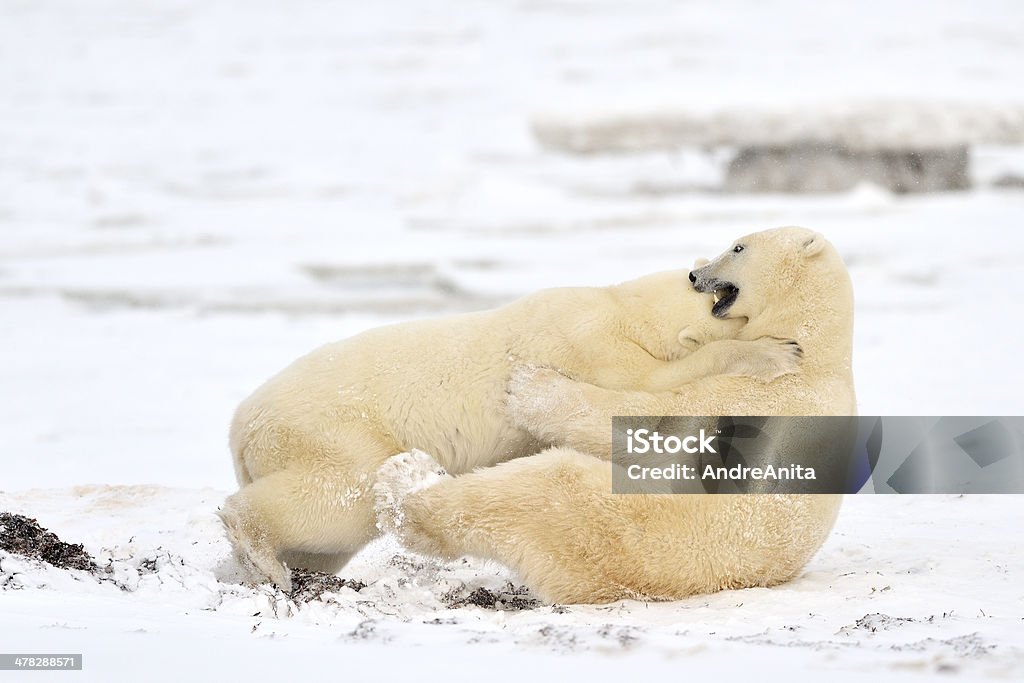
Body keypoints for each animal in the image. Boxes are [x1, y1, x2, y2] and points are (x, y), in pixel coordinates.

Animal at [220, 264, 802, 589]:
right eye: (715, 294)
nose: (707, 277)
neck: (620, 307)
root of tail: (240, 425)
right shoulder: (585, 338)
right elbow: (644, 386)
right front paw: (777, 351)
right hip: (331, 429)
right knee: (343, 496)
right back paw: (263, 560)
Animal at [376, 228, 856, 602]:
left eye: (738, 247)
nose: (696, 275)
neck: (816, 352)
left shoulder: (756, 395)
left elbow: (657, 426)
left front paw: (530, 389)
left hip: (624, 525)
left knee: (530, 491)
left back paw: (407, 482)